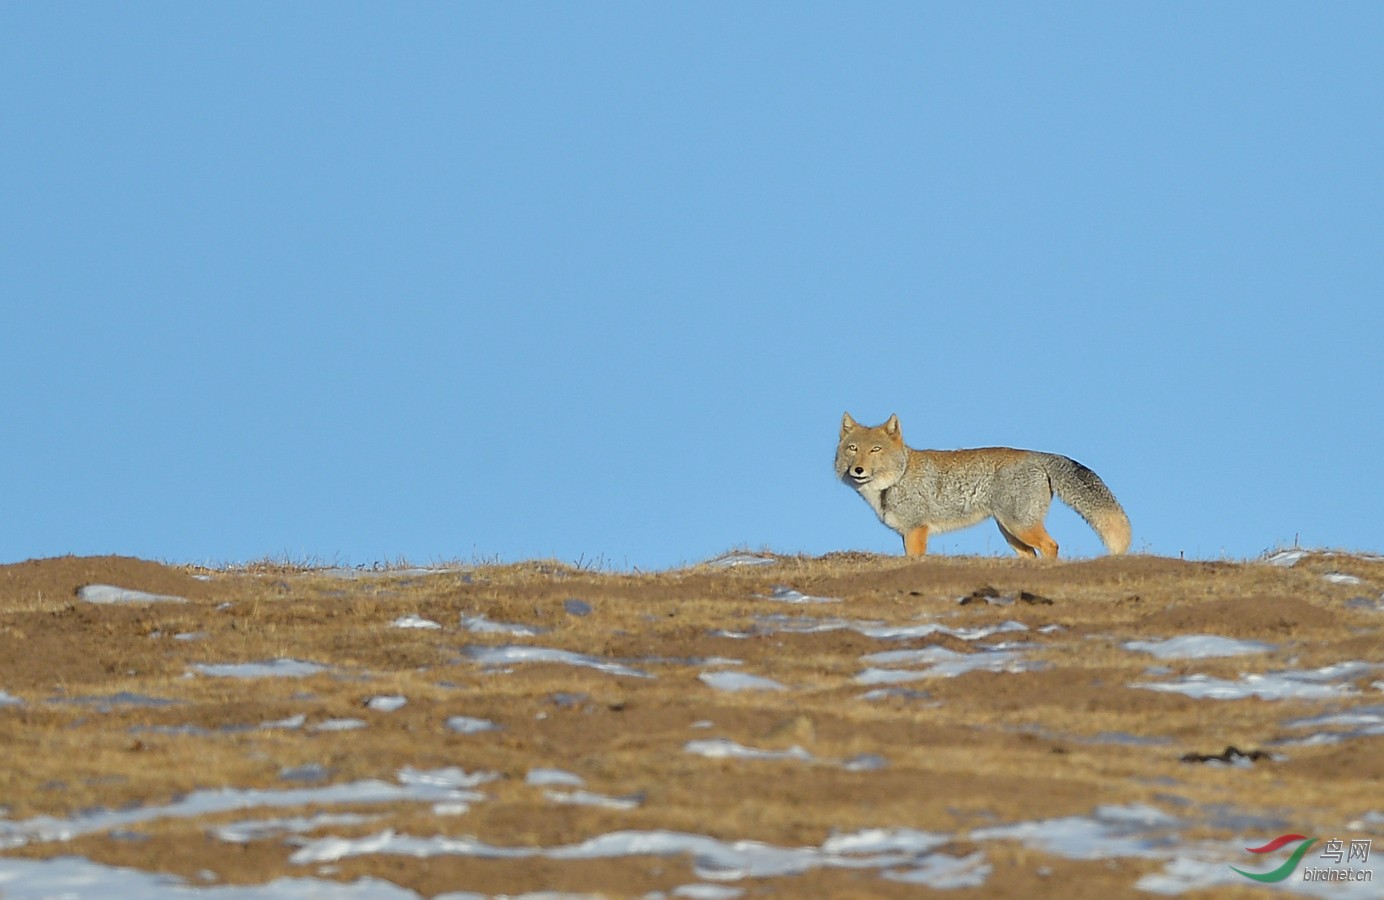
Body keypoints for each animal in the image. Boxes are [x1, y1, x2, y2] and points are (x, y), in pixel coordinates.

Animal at [835, 412, 1129, 553]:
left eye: (875, 450)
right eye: (852, 448)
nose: (858, 469)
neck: (895, 481)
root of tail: (1035, 454)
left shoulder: (916, 530)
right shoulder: (906, 533)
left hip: (1020, 527)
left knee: (1051, 546)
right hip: (1010, 533)